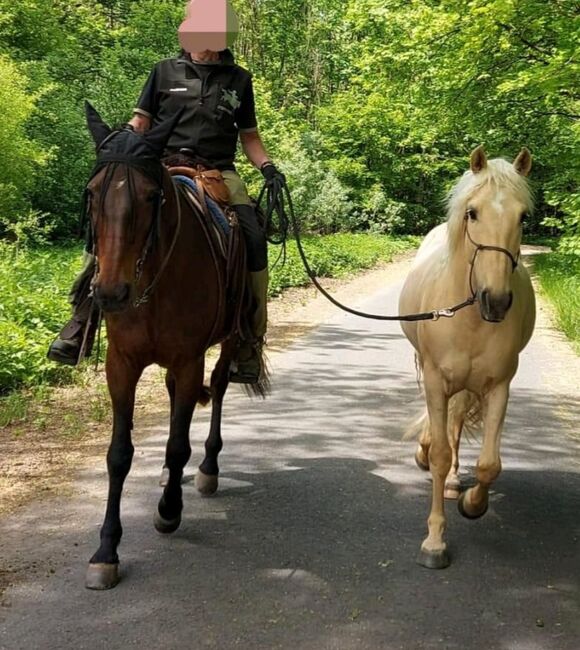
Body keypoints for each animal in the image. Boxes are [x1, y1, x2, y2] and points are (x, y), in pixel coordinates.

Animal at [81, 102, 262, 588]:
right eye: (92, 194)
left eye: (150, 197)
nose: (110, 293)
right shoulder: (121, 364)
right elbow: (119, 454)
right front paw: (106, 551)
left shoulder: (188, 360)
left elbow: (180, 442)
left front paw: (168, 511)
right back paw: (168, 476)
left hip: (230, 339)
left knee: (219, 388)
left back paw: (206, 469)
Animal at [398, 146, 536, 568]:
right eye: (472, 212)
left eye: (523, 216)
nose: (497, 301)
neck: (470, 315)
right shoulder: (435, 378)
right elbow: (441, 454)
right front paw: (434, 541)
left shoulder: (499, 387)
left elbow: (490, 463)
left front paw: (473, 504)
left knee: (457, 422)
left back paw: (456, 482)